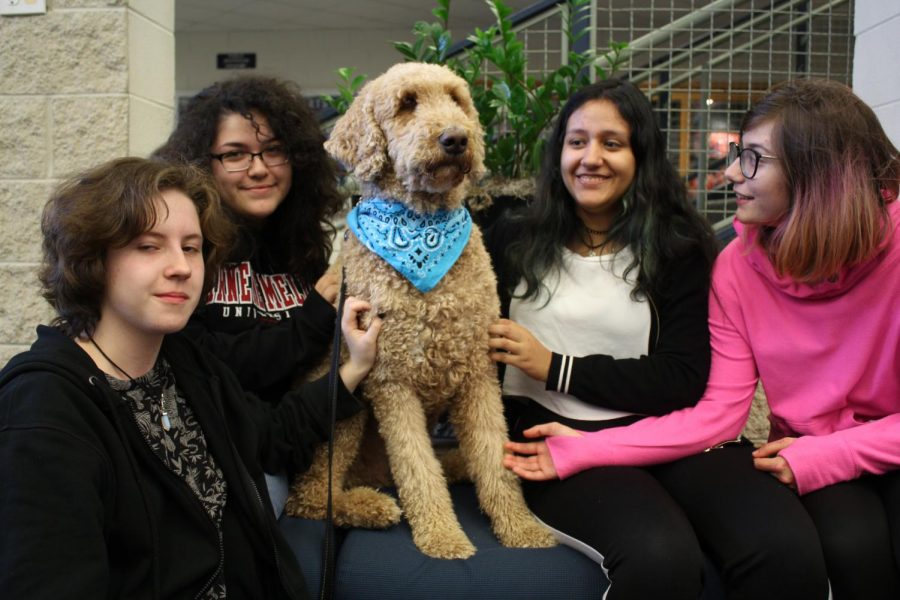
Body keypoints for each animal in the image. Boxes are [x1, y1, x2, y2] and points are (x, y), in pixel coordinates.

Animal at [286, 63, 556, 560]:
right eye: (407, 103)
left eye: (457, 99)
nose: (456, 138)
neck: (422, 228)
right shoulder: (392, 380)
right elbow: (417, 469)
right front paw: (442, 537)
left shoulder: (478, 372)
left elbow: (494, 456)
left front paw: (521, 527)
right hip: (345, 409)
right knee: (312, 496)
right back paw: (370, 507)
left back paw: (452, 465)